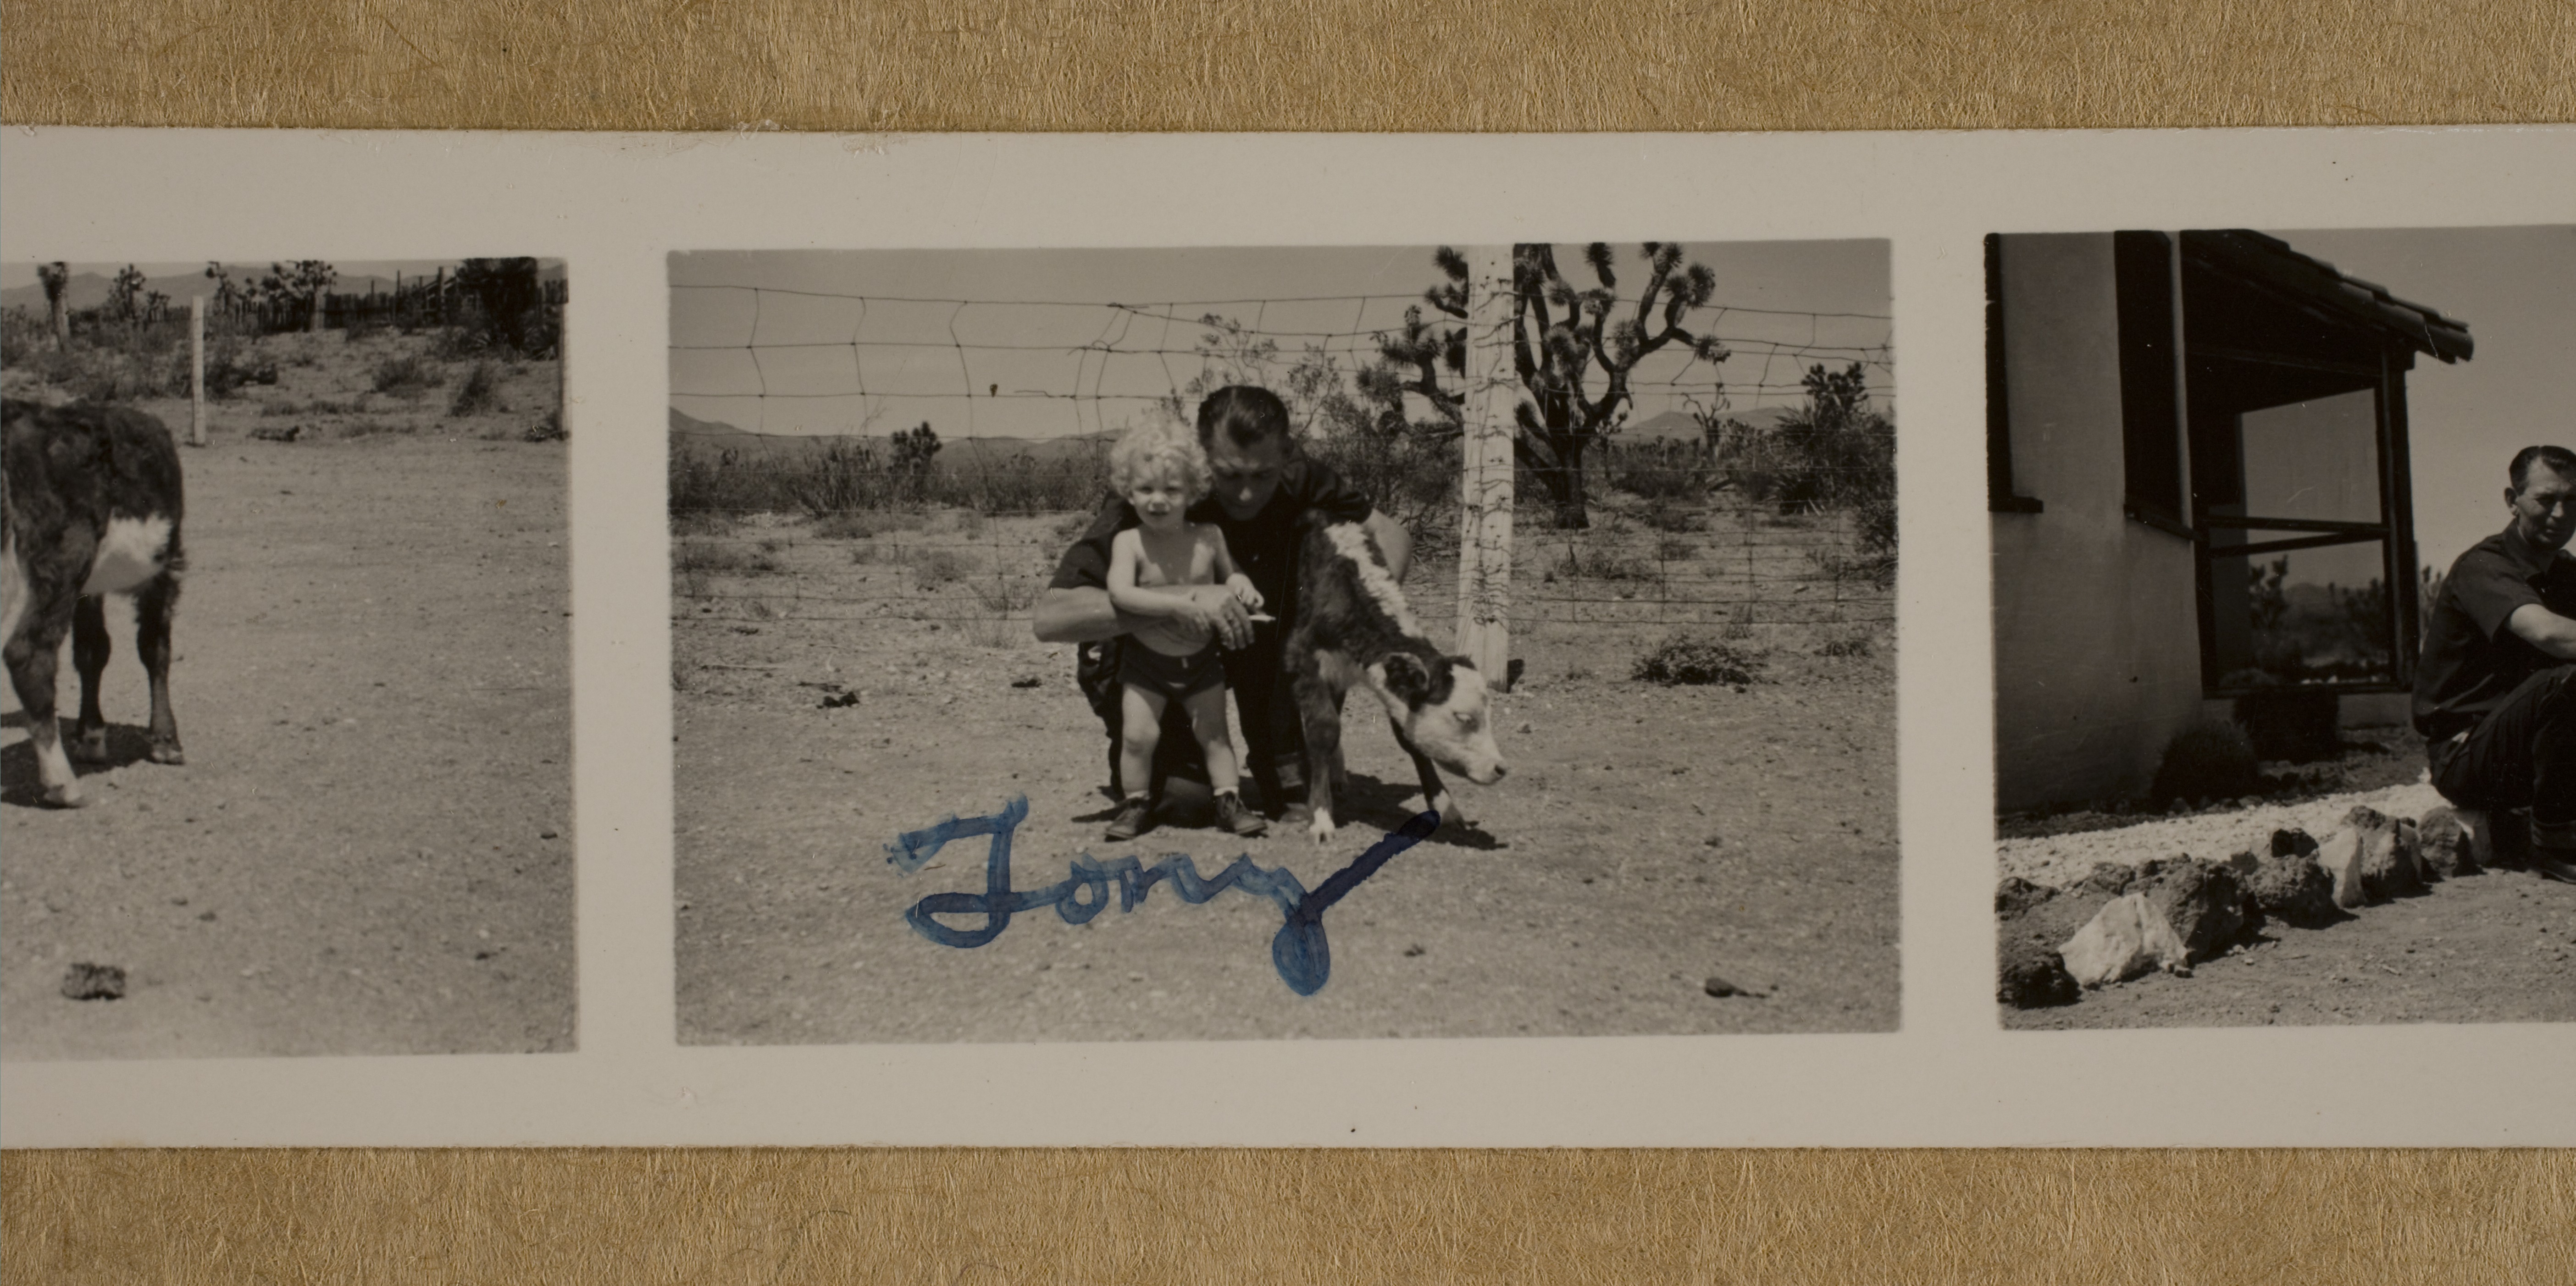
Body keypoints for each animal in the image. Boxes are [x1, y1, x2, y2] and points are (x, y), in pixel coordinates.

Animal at [2, 397, 188, 809]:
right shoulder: (164, 570)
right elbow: (155, 649)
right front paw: (166, 740)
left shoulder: (90, 591)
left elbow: (92, 651)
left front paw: (91, 734)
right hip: (62, 559)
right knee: (29, 654)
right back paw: (63, 784)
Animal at [1288, 513, 1504, 845]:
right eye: (1463, 718)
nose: (1500, 768)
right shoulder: (1306, 659)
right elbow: (1323, 729)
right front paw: (1321, 816)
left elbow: (1407, 737)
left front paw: (1447, 807)